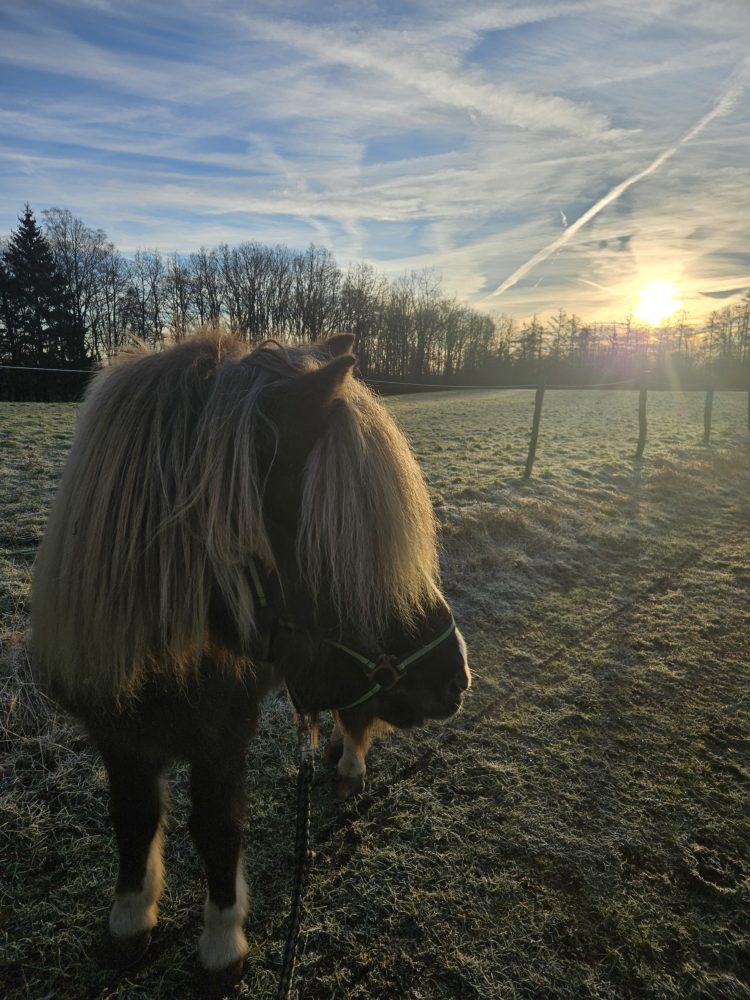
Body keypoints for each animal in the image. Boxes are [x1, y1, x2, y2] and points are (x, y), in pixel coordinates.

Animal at [33, 334, 476, 992]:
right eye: (332, 547)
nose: (456, 678)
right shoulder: (117, 734)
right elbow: (133, 817)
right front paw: (130, 918)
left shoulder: (224, 737)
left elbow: (218, 829)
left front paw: (221, 943)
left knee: (357, 715)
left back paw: (349, 765)